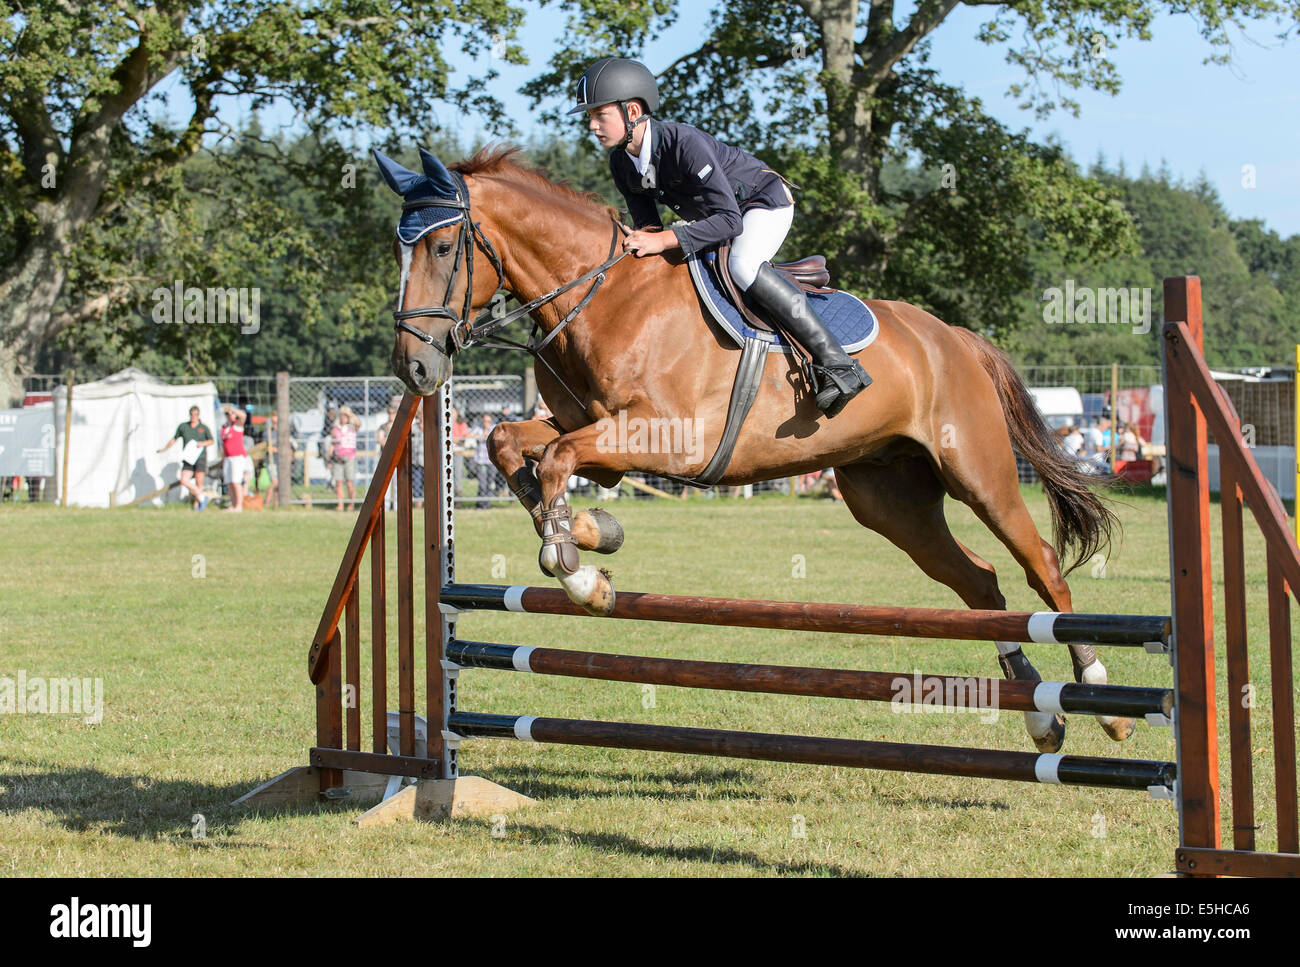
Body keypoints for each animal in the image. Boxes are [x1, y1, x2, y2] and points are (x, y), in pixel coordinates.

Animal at [374, 143, 1128, 753]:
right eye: (398, 250)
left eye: (440, 248)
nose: (414, 368)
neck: (603, 296)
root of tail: (954, 338)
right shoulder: (592, 430)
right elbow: (509, 443)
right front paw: (588, 534)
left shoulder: (662, 437)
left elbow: (558, 460)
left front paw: (581, 570)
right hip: (890, 499)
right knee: (980, 582)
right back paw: (1041, 715)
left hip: (979, 472)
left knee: (1041, 566)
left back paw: (1103, 696)